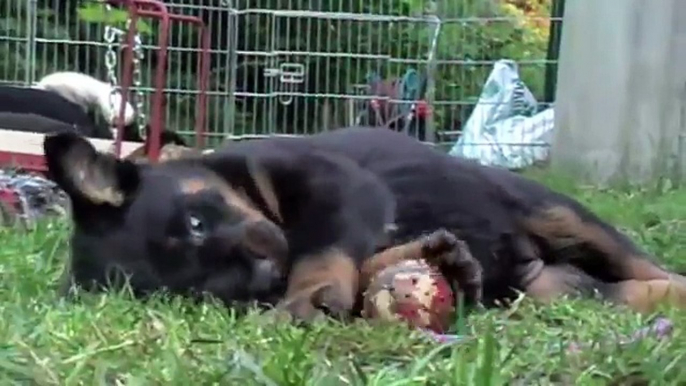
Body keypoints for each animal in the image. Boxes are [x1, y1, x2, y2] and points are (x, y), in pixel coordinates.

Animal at [45, 126, 686, 320]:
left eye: (197, 221)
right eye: (204, 293)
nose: (263, 275)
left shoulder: (338, 187)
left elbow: (324, 249)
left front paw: (309, 294)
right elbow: (370, 258)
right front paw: (442, 261)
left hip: (562, 215)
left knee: (650, 269)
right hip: (552, 289)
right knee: (620, 291)